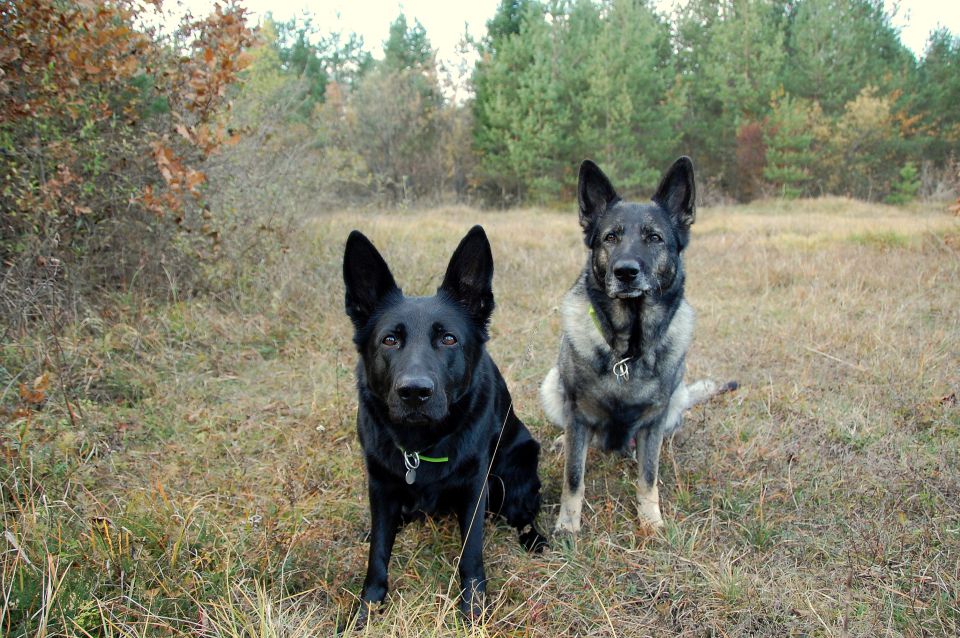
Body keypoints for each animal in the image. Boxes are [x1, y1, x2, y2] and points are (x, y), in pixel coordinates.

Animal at [342, 224, 544, 624]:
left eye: (448, 339)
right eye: (390, 340)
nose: (414, 392)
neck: (421, 446)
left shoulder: (474, 486)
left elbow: (471, 554)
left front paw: (473, 609)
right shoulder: (380, 486)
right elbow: (378, 552)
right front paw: (368, 608)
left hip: (516, 471)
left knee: (525, 512)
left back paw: (535, 538)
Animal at [540, 158, 736, 532]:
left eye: (654, 238)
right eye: (611, 237)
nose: (625, 271)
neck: (627, 351)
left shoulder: (654, 420)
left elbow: (649, 476)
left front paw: (651, 521)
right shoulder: (578, 413)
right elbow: (574, 476)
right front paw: (568, 525)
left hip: (675, 401)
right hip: (552, 384)